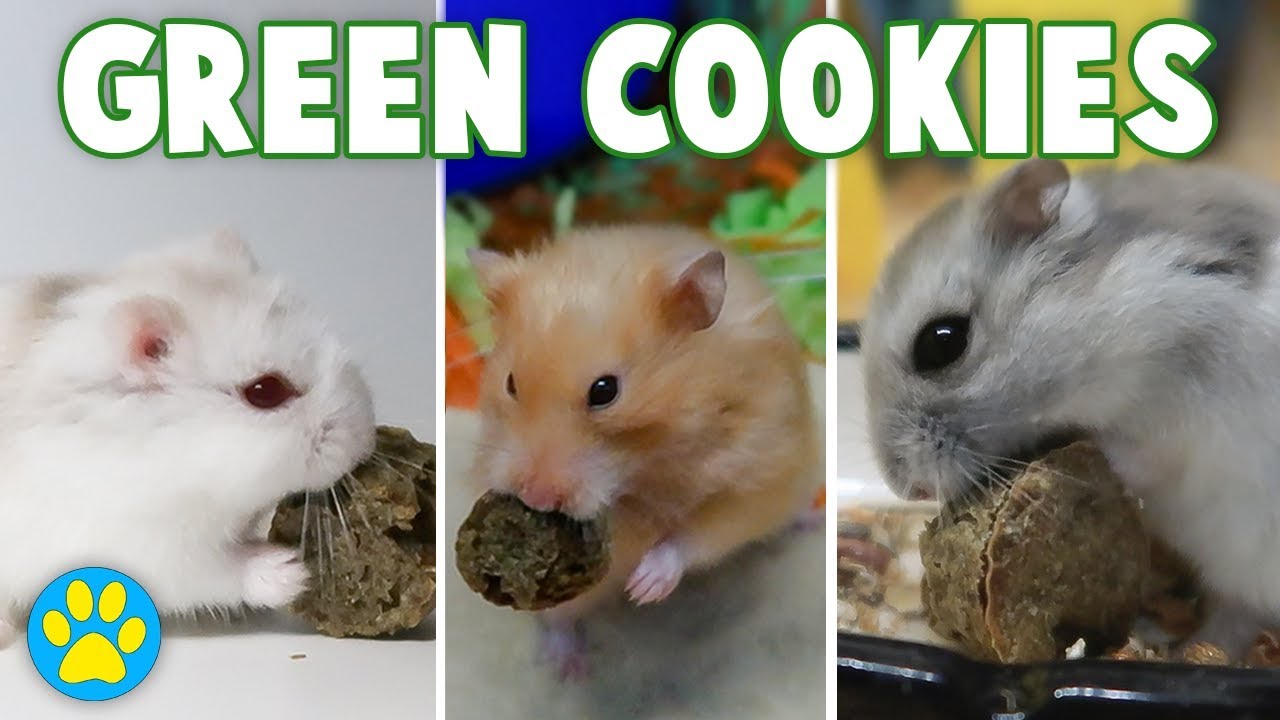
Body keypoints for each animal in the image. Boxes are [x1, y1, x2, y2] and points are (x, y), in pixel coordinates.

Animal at [468, 224, 821, 678]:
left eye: (605, 391)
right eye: (510, 383)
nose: (536, 498)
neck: (645, 470)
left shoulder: (757, 478)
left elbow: (696, 536)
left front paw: (643, 589)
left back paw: (812, 520)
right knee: (561, 618)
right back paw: (567, 668)